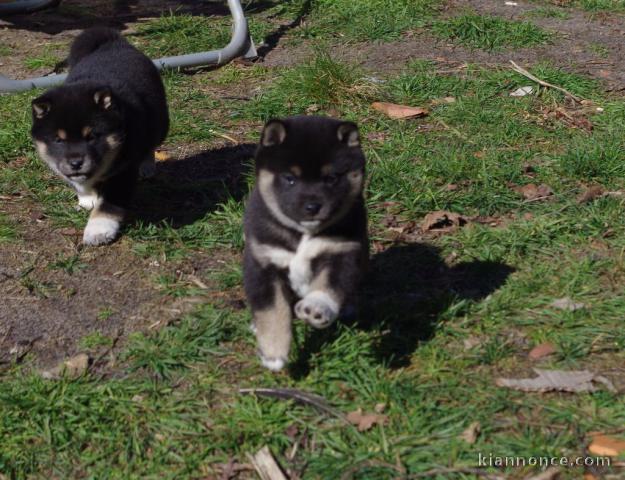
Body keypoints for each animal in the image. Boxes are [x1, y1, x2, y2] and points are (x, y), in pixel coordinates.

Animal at [30, 27, 168, 246]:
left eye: (92, 136)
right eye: (58, 140)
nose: (76, 163)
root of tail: (113, 42)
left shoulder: (123, 170)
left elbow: (108, 204)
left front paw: (98, 231)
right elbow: (81, 184)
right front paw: (87, 199)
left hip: (160, 122)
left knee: (151, 144)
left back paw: (147, 166)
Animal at [241, 116, 368, 372]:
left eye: (331, 178)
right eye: (290, 178)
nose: (312, 207)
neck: (302, 233)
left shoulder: (342, 253)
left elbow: (329, 286)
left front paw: (316, 308)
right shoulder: (263, 263)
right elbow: (272, 311)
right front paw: (273, 352)